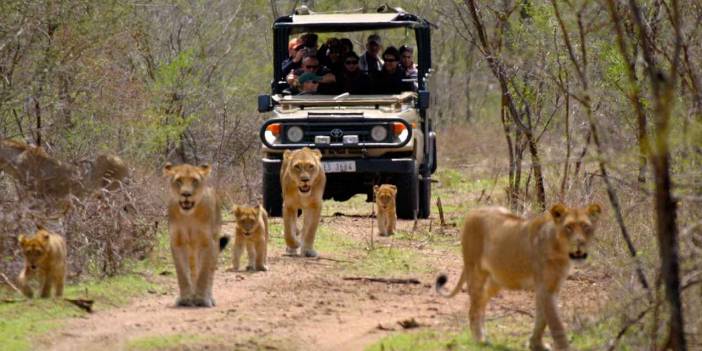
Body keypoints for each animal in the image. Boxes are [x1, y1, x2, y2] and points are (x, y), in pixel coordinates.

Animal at [162, 163, 228, 308]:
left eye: (195, 181)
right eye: (179, 181)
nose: (186, 194)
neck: (189, 216)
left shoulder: (208, 242)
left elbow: (204, 273)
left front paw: (202, 299)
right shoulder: (177, 242)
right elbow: (182, 273)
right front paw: (186, 299)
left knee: (209, 272)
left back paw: (209, 297)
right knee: (193, 271)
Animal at [438, 204, 604, 351]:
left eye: (586, 227)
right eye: (568, 227)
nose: (580, 243)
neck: (560, 252)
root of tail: (473, 211)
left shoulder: (552, 286)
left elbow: (542, 318)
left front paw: (536, 344)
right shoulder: (545, 289)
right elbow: (555, 323)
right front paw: (563, 347)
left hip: (496, 280)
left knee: (481, 303)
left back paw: (483, 335)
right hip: (475, 270)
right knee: (474, 307)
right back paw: (479, 339)